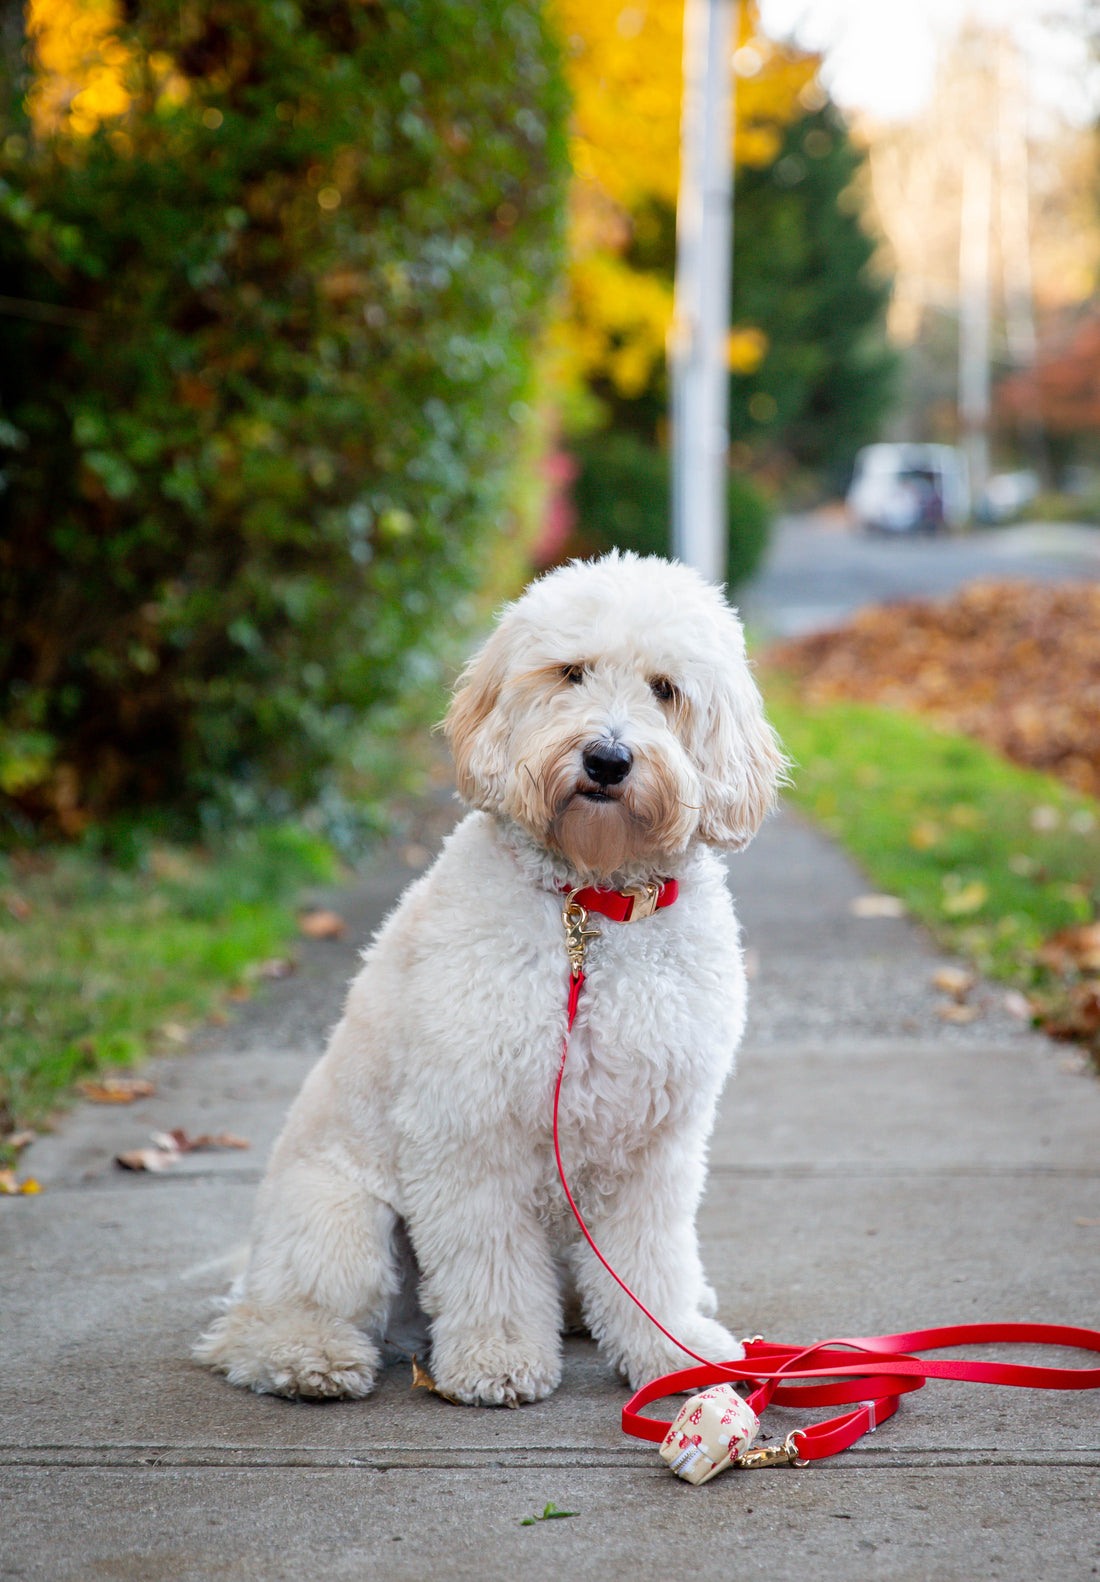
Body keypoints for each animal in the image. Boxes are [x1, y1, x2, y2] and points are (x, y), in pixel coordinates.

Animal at [195, 550, 781, 1404]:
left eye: (665, 688)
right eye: (571, 672)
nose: (607, 759)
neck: (589, 909)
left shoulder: (655, 1145)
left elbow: (651, 1260)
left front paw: (671, 1348)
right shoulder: (471, 1131)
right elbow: (491, 1264)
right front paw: (498, 1359)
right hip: (341, 1221)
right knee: (262, 1326)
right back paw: (309, 1356)